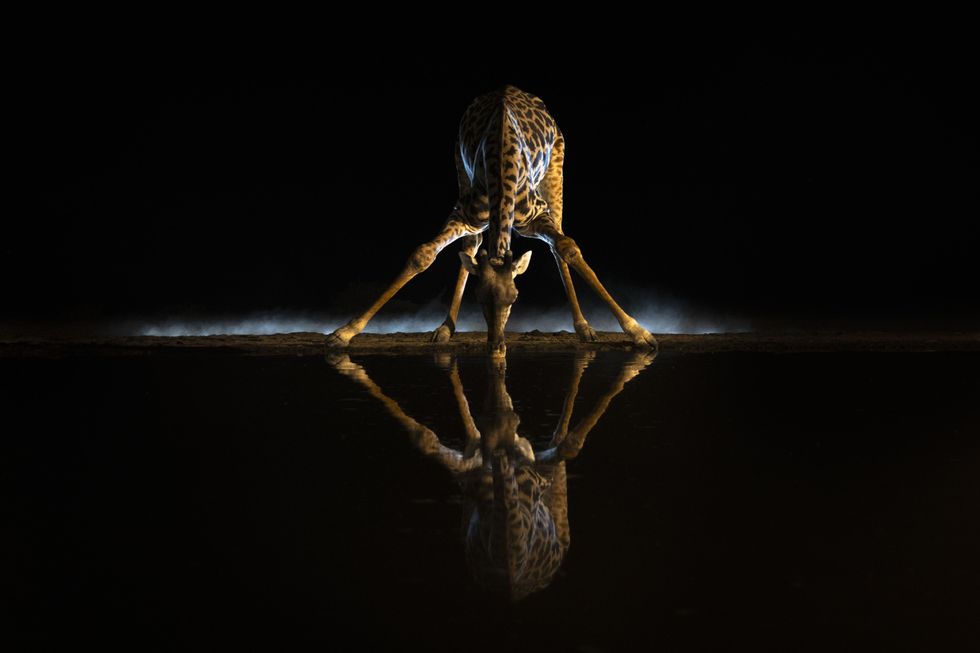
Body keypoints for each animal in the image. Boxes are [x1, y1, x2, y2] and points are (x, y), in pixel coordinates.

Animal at [325, 85, 658, 356]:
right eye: (479, 297)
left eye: (515, 298)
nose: (496, 348)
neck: (501, 162)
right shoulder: (464, 213)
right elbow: (423, 255)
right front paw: (344, 332)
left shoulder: (537, 214)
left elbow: (567, 248)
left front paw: (640, 333)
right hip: (461, 174)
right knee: (471, 246)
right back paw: (445, 328)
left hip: (555, 173)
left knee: (558, 244)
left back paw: (585, 328)